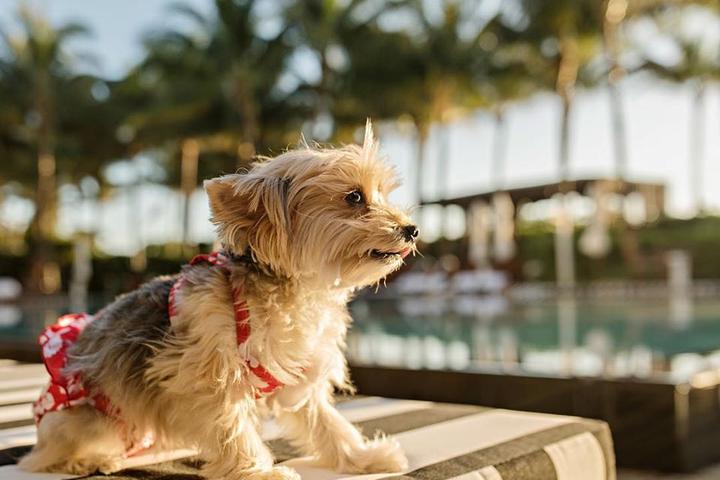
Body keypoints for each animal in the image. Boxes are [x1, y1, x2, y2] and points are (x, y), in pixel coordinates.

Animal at [19, 122, 416, 478]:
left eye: (381, 193)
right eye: (354, 197)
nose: (412, 229)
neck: (294, 291)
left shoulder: (300, 371)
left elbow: (327, 422)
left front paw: (361, 458)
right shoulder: (208, 373)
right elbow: (232, 426)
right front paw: (258, 472)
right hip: (91, 418)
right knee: (43, 457)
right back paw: (90, 460)